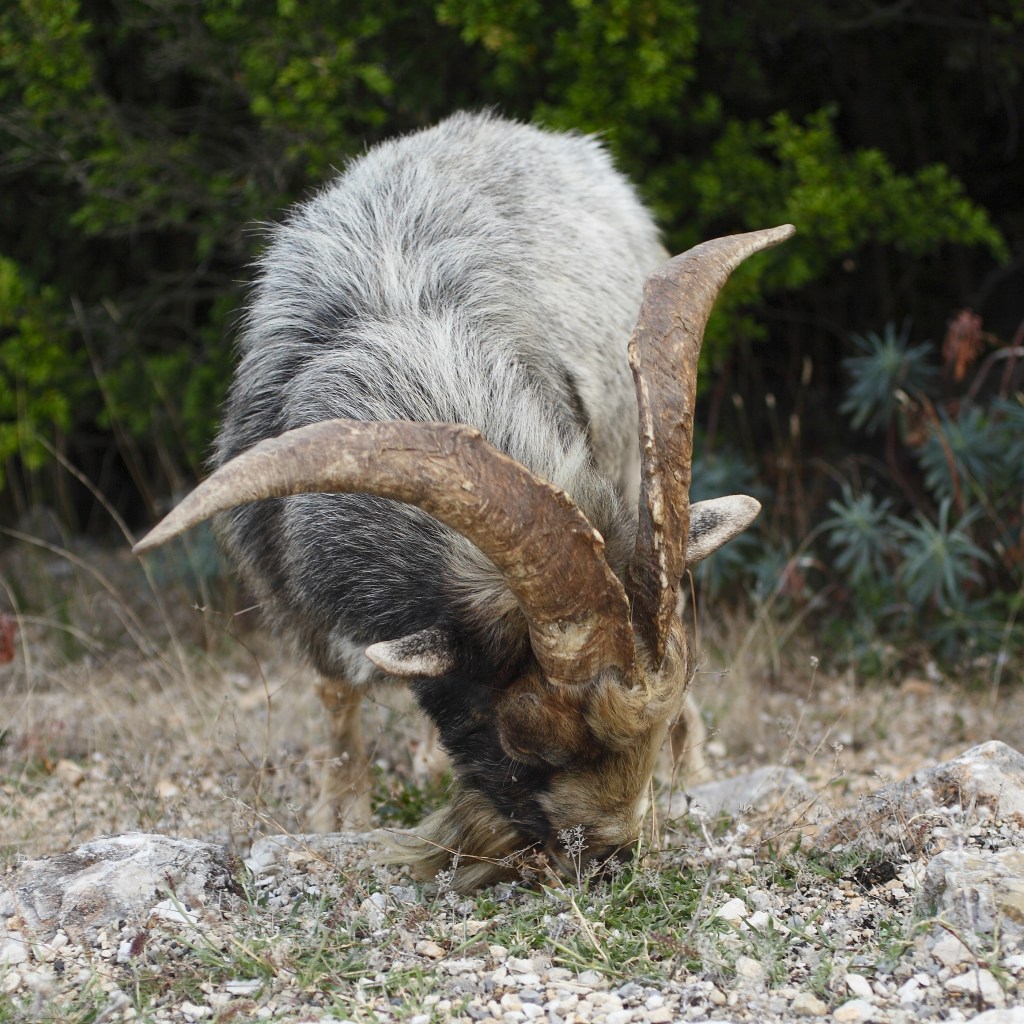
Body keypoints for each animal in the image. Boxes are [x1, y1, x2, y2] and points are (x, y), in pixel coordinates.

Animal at [134, 111, 793, 890]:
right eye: (525, 739)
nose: (608, 859)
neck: (408, 351)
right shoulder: (284, 579)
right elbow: (337, 695)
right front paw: (339, 812)